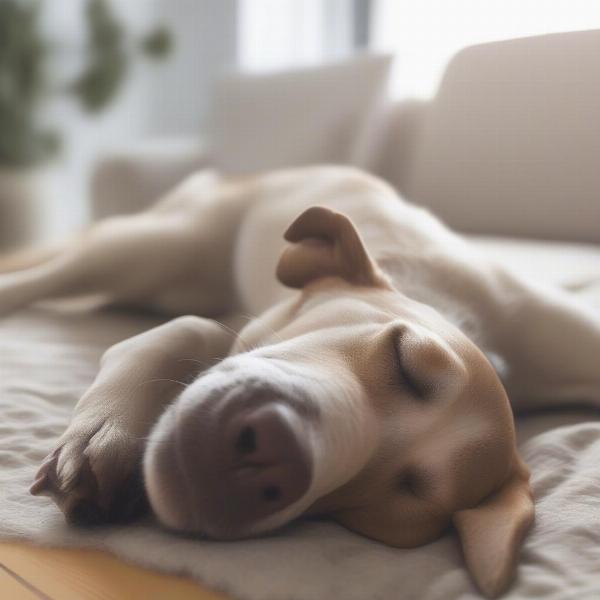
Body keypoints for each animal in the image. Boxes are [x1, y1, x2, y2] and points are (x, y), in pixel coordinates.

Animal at [2, 166, 596, 596]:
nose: (272, 459)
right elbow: (191, 331)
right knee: (54, 272)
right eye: (405, 359)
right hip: (154, 247)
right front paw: (107, 432)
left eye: (407, 497)